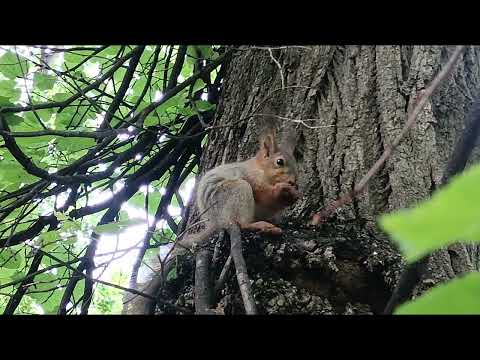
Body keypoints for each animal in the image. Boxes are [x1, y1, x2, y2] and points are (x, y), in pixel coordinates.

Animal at [125, 119, 302, 314]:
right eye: (279, 162)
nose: (294, 181)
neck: (261, 170)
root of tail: (216, 221)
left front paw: (291, 195)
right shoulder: (252, 179)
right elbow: (263, 193)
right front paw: (282, 190)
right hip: (237, 191)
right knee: (240, 223)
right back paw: (260, 225)